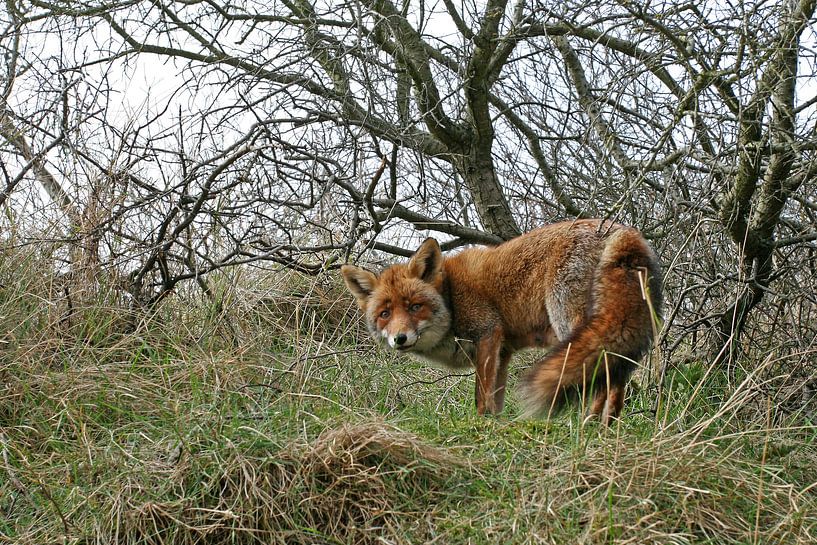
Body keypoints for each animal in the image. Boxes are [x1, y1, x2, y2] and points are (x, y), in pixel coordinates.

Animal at [342, 219, 660, 422]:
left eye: (415, 307)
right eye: (385, 314)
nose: (400, 338)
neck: (451, 297)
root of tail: (621, 230)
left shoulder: (488, 334)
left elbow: (481, 396)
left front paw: (481, 425)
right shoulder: (503, 352)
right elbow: (496, 398)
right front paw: (495, 425)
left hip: (570, 322)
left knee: (602, 376)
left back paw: (585, 425)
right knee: (617, 379)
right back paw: (605, 428)